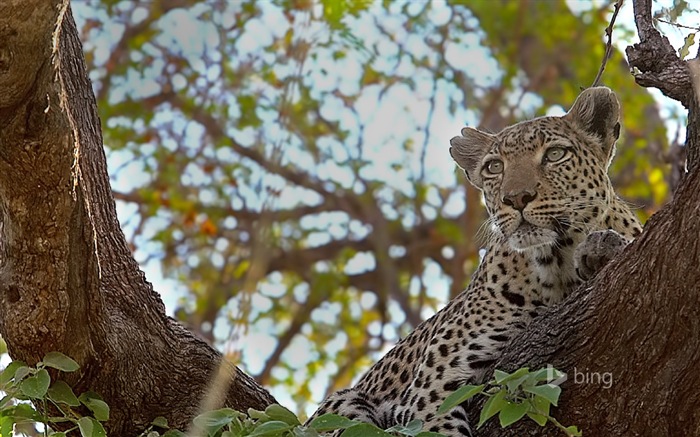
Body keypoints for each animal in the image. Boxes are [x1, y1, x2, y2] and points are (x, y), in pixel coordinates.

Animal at [308, 87, 644, 434]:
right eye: (494, 167)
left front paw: (600, 248)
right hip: (343, 403)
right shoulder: (431, 386)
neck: (557, 263)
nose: (516, 198)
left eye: (554, 155)